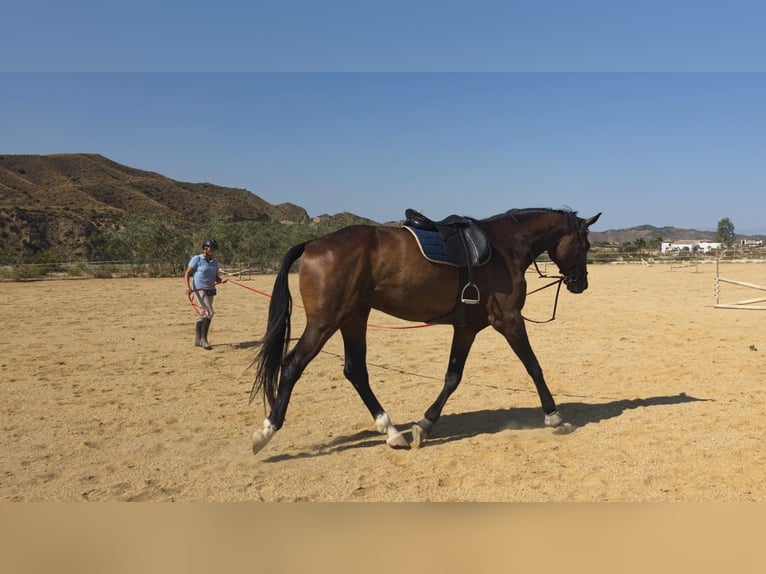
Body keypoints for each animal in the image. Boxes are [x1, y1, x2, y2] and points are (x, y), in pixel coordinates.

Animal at [249, 207, 601, 454]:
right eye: (584, 244)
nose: (581, 283)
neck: (505, 248)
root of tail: (312, 243)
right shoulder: (510, 320)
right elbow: (533, 366)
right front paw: (554, 416)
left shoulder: (467, 328)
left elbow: (452, 377)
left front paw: (424, 424)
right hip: (326, 322)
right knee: (293, 365)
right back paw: (266, 432)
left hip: (353, 318)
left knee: (355, 371)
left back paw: (392, 432)